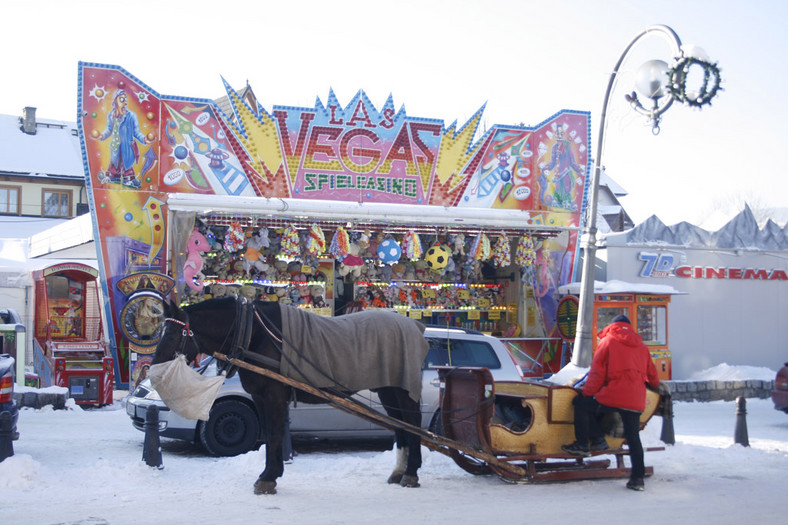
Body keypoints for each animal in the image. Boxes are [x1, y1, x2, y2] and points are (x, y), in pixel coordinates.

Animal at [151, 296, 428, 494]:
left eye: (172, 334)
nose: (152, 369)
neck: (254, 333)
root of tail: (415, 325)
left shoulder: (273, 394)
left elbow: (275, 433)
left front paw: (268, 478)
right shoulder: (259, 396)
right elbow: (268, 434)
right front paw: (269, 474)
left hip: (404, 391)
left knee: (413, 422)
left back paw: (411, 473)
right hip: (388, 390)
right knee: (401, 425)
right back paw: (399, 471)